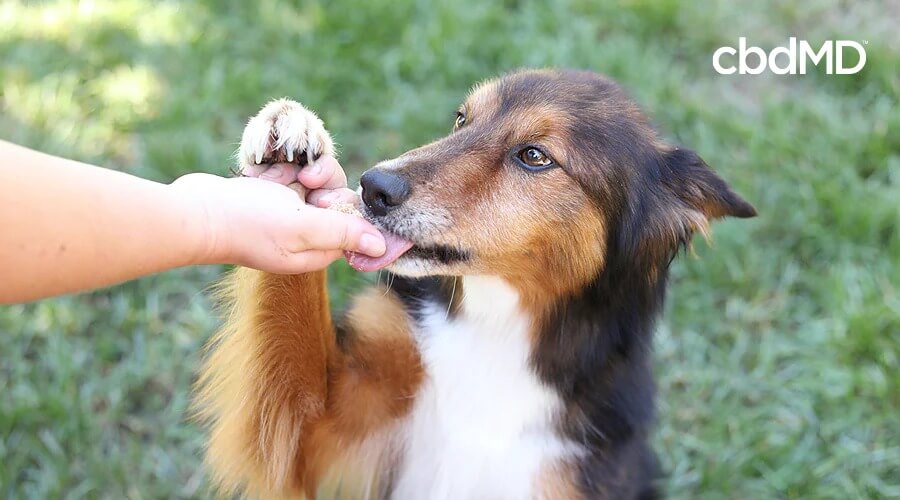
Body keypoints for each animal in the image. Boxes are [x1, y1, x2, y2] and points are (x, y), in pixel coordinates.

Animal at [193, 68, 756, 498]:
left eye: (535, 156)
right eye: (462, 119)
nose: (374, 186)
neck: (495, 329)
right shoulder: (311, 441)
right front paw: (290, 134)